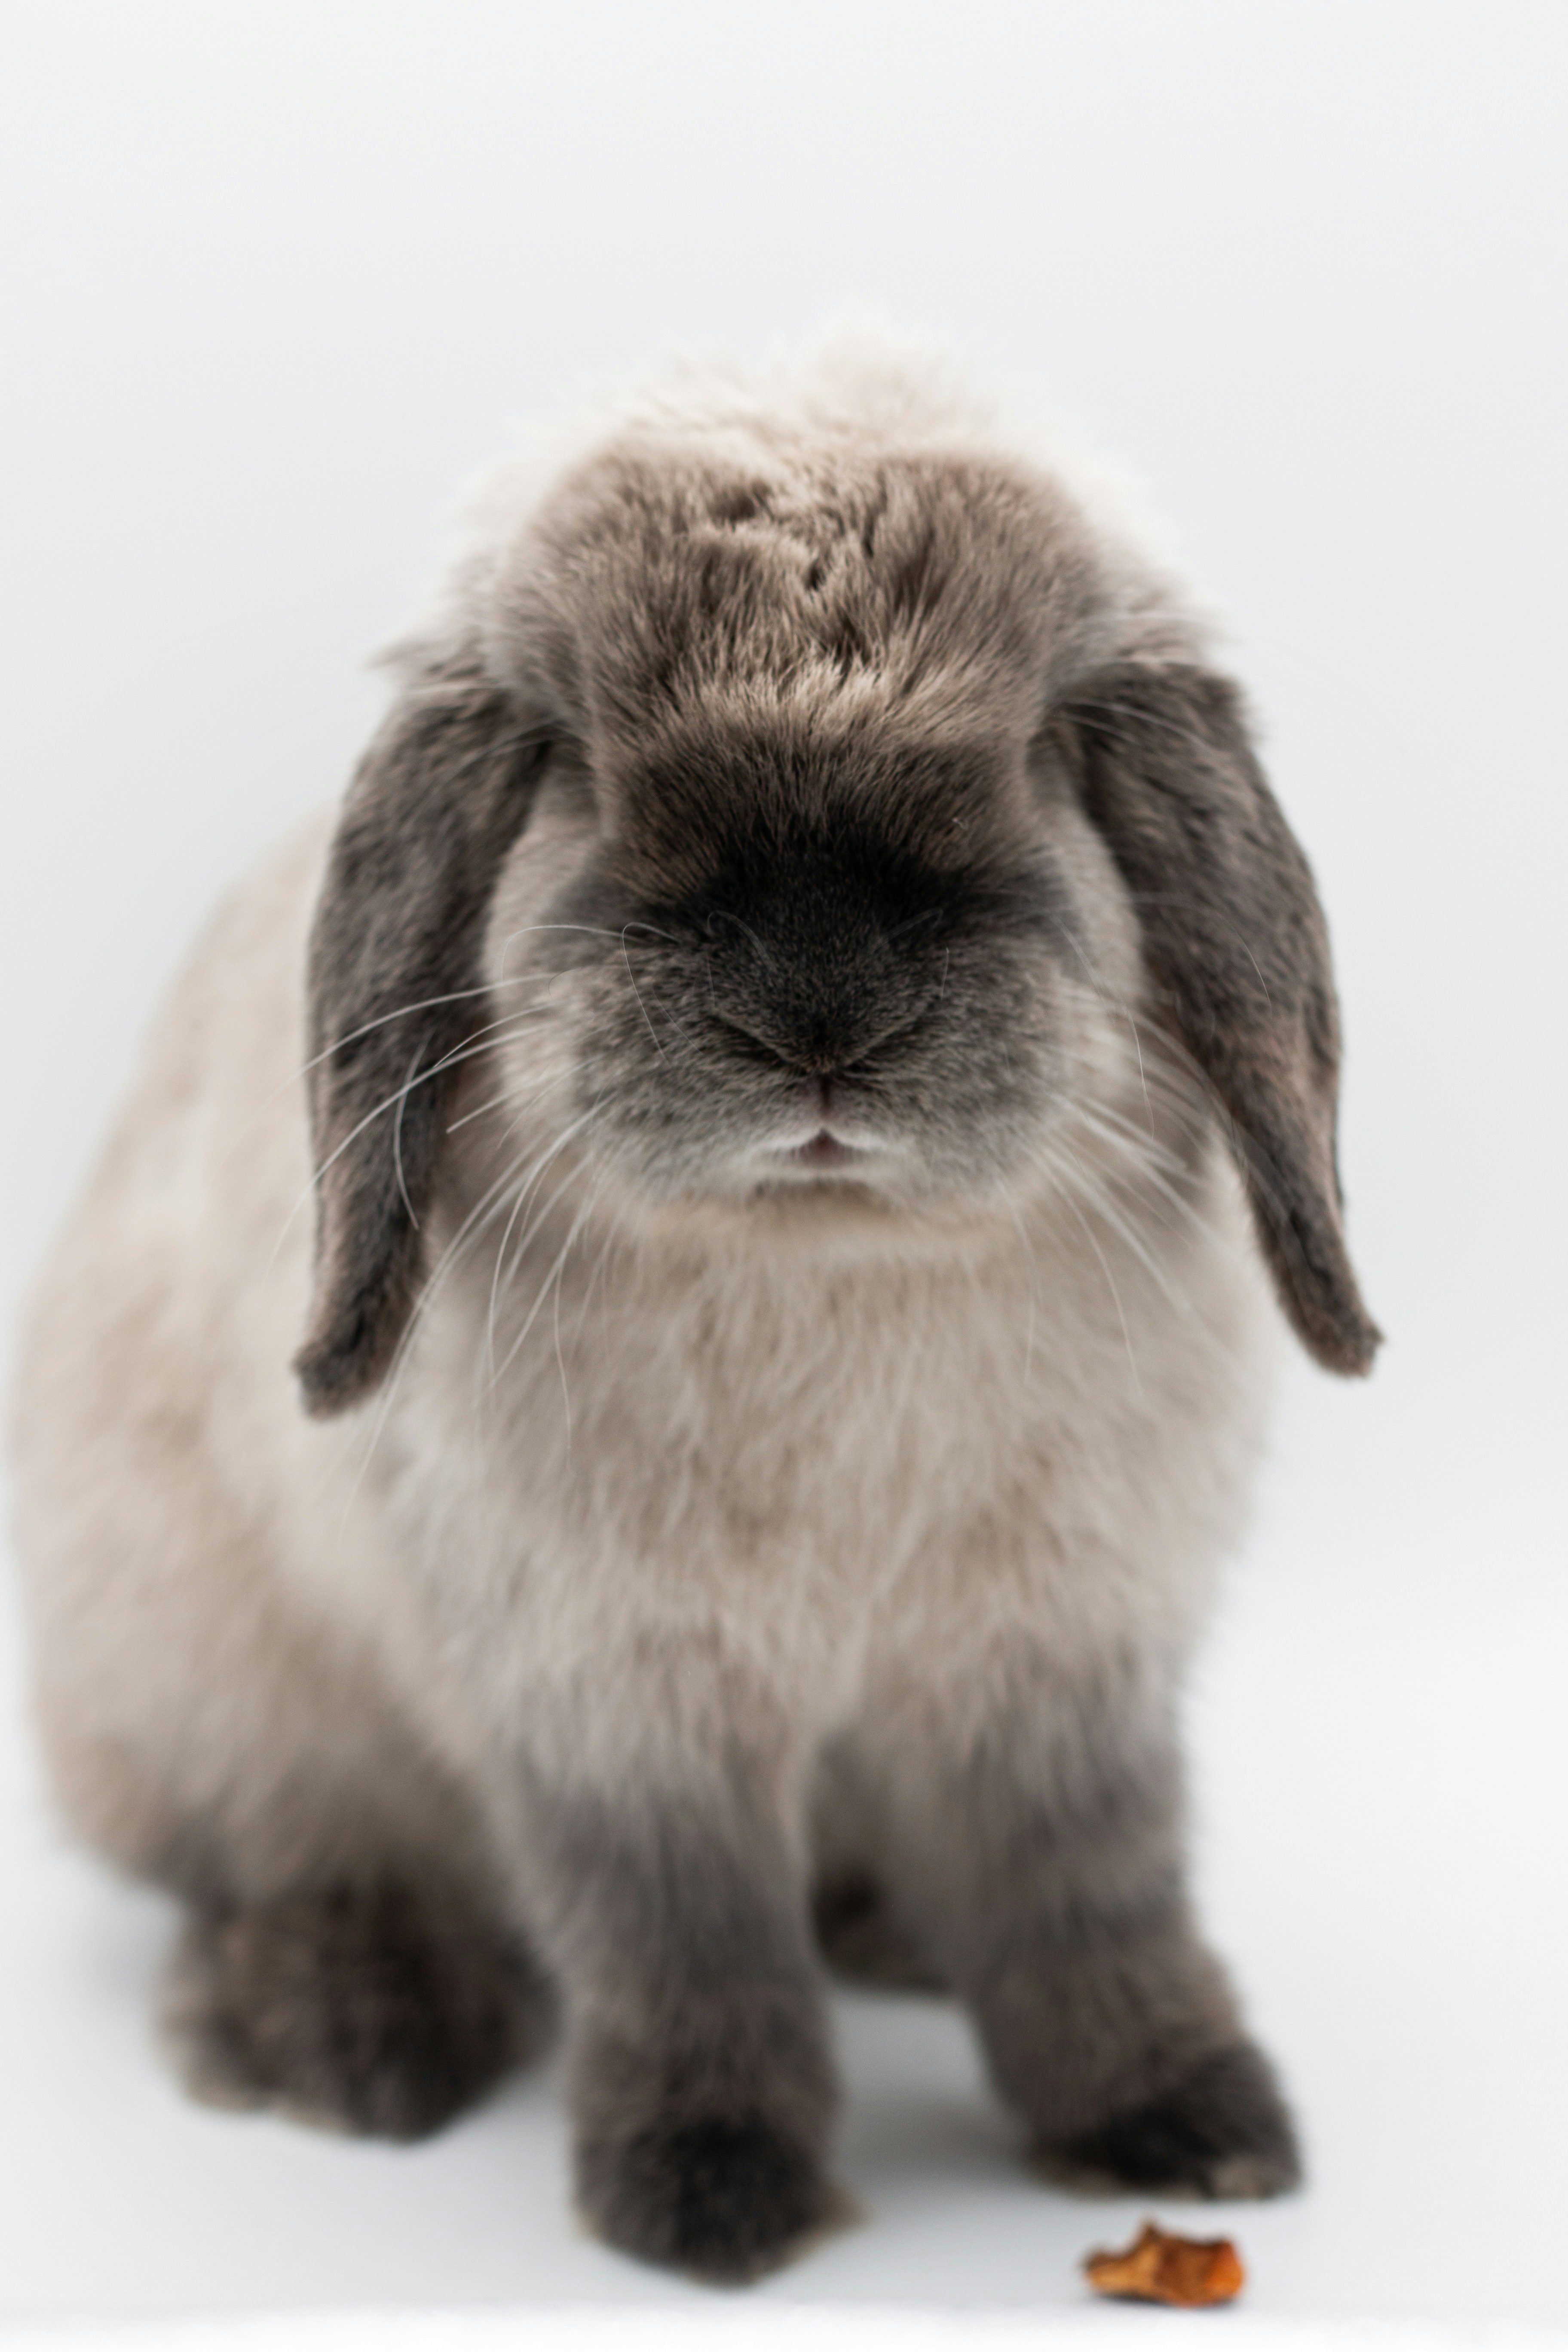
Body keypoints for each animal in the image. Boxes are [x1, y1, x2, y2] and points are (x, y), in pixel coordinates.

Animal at [10, 334, 1378, 2282]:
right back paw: (344, 2034)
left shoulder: (1055, 1673)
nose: (817, 1005)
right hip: (216, 1679)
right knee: (288, 1852)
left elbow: (1092, 1904)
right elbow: (685, 1943)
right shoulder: (619, 1699)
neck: (828, 1252)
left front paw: (1188, 2130)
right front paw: (707, 2197)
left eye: (1045, 752)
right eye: (572, 768)